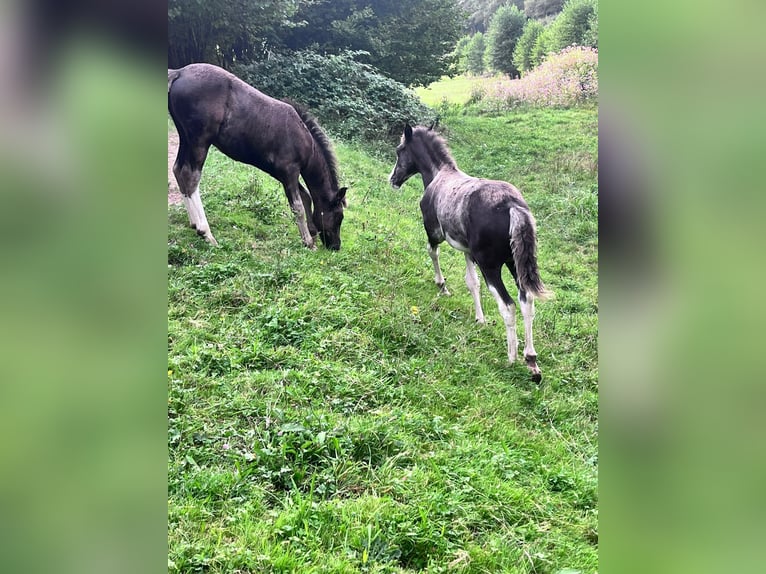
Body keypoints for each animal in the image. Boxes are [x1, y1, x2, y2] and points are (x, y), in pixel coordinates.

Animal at [170, 64, 350, 251]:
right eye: (339, 217)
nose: (336, 246)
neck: (305, 140)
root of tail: (179, 72)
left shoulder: (280, 173)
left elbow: (306, 196)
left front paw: (311, 234)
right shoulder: (289, 170)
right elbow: (298, 205)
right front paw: (307, 240)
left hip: (185, 137)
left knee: (178, 170)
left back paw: (194, 223)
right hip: (199, 140)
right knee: (190, 176)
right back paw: (205, 232)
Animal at [390, 125, 552, 382]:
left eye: (400, 150)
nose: (393, 179)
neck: (439, 174)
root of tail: (512, 206)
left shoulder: (435, 232)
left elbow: (432, 252)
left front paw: (442, 286)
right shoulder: (469, 252)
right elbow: (471, 282)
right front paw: (480, 319)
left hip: (491, 266)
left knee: (508, 305)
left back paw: (512, 358)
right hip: (514, 264)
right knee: (526, 301)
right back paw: (531, 361)